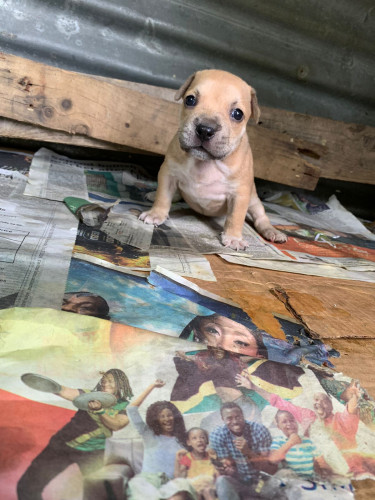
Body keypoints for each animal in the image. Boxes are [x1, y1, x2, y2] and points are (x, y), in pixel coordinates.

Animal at [140, 69, 288, 249]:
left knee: (261, 216)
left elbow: (235, 217)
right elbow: (163, 196)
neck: (206, 163)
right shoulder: (168, 173)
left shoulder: (240, 194)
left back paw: (271, 231)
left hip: (254, 200)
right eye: (190, 100)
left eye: (237, 114)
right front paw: (156, 213)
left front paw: (233, 237)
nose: (205, 129)